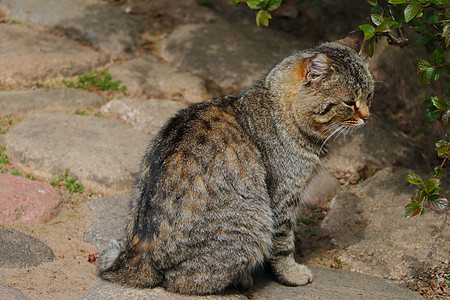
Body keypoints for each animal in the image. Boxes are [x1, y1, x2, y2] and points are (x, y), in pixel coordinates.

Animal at [97, 29, 372, 296]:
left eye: (369, 96)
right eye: (349, 102)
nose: (367, 117)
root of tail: (137, 255)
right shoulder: (283, 198)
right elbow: (283, 244)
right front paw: (291, 273)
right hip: (255, 220)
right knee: (181, 282)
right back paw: (242, 279)